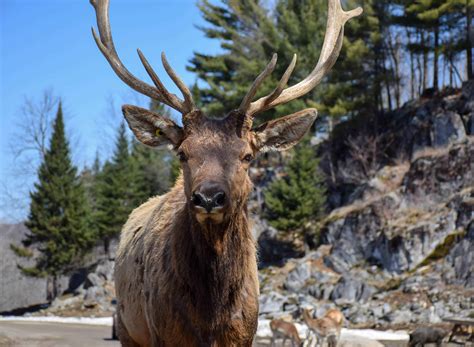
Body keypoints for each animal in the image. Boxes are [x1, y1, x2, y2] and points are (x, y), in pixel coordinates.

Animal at [90, 0, 362, 346]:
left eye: (247, 155)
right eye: (183, 153)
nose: (208, 198)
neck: (212, 313)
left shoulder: (244, 335)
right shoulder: (162, 333)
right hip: (129, 327)